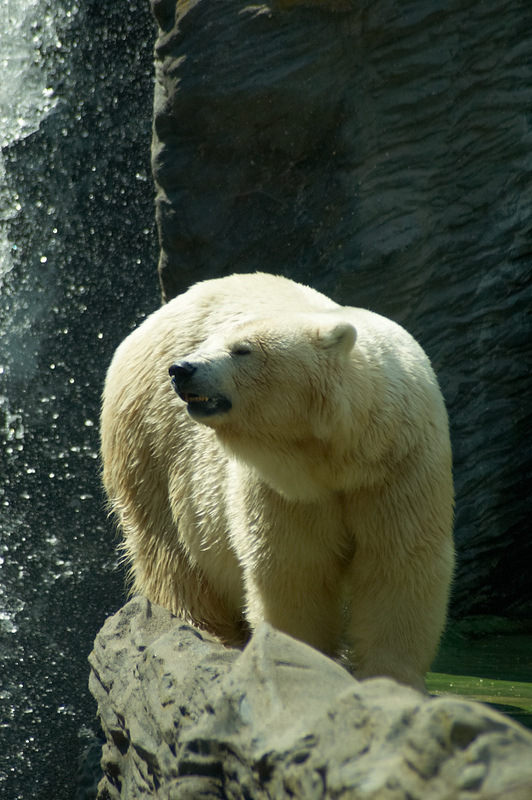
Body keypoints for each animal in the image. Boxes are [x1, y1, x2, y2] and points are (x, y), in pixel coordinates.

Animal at [102, 274, 456, 688]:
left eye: (242, 349)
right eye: (207, 343)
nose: (181, 369)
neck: (337, 456)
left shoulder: (397, 468)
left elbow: (397, 563)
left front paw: (389, 678)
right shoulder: (282, 487)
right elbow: (295, 570)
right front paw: (300, 661)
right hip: (150, 449)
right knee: (169, 553)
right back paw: (198, 631)